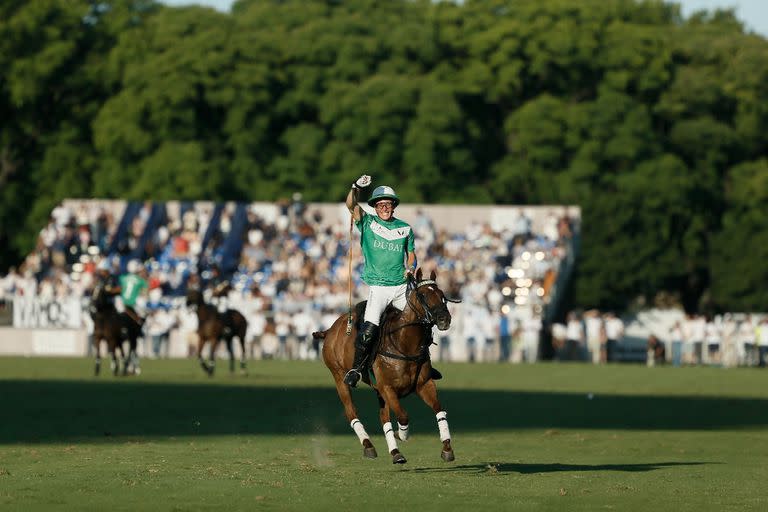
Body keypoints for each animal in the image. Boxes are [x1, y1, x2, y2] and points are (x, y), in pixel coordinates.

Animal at [314, 268, 460, 464]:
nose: (444, 319)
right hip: (339, 377)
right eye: (422, 295)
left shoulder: (424, 384)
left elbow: (439, 410)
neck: (405, 345)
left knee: (383, 418)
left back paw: (395, 452)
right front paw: (402, 435)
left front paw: (447, 448)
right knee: (351, 412)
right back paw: (369, 445)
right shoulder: (388, 388)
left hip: (377, 390)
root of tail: (330, 329)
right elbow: (403, 416)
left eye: (442, 295)